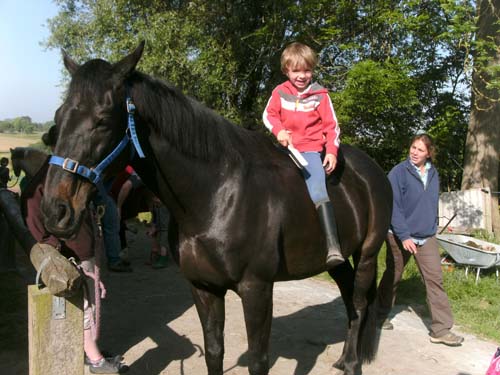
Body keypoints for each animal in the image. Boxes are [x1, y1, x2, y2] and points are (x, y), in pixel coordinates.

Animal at [41, 41, 392, 375]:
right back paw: (345, 358)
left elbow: (258, 361)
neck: (217, 195)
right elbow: (214, 353)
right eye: (58, 119)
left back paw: (352, 364)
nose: (55, 211)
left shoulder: (257, 290)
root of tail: (373, 171)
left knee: (359, 303)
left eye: (102, 120)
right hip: (337, 260)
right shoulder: (203, 288)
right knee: (348, 298)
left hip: (367, 255)